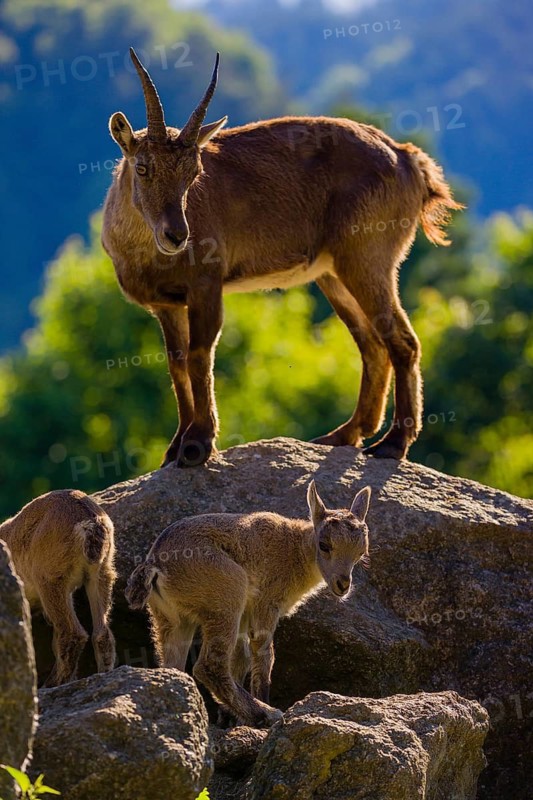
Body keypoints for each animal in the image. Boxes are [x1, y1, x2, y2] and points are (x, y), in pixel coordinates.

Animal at [0, 490, 116, 686]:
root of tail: (90, 522)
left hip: (50, 577)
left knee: (73, 633)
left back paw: (52, 684)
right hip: (101, 571)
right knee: (101, 632)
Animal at [102, 49, 462, 468]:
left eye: (195, 172)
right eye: (143, 167)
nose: (177, 235)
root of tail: (409, 160)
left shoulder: (206, 283)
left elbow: (200, 355)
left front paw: (198, 445)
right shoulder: (168, 305)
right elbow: (176, 365)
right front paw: (175, 448)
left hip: (367, 257)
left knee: (403, 341)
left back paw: (392, 443)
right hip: (334, 273)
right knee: (372, 344)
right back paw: (342, 435)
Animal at [125, 481, 371, 727]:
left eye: (361, 552)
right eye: (324, 545)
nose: (343, 585)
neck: (295, 552)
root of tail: (155, 564)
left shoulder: (245, 616)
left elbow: (241, 659)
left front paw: (229, 717)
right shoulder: (266, 604)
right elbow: (264, 655)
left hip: (172, 619)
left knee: (175, 666)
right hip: (228, 595)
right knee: (209, 665)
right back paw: (265, 713)